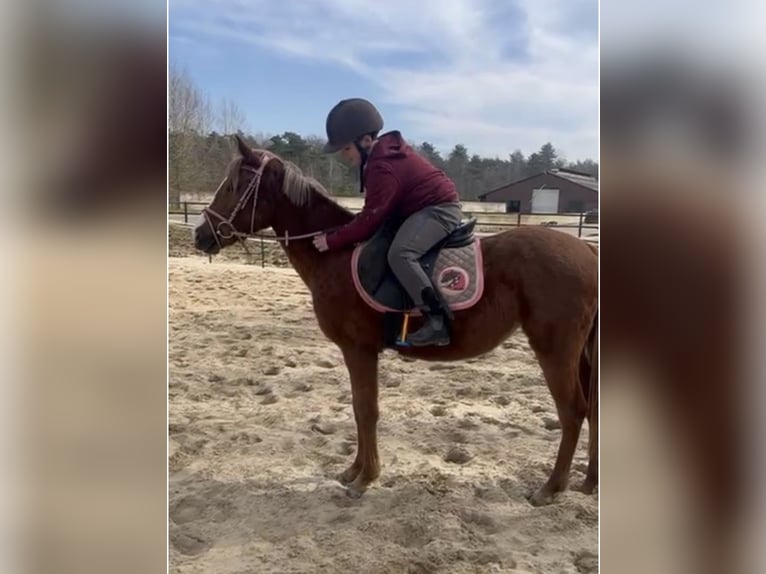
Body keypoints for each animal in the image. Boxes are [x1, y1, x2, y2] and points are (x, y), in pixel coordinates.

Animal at [194, 137, 600, 506]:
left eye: (233, 186)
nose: (201, 235)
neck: (335, 254)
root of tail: (587, 249)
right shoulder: (358, 352)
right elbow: (359, 409)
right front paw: (354, 471)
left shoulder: (358, 350)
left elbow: (366, 410)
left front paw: (365, 478)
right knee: (593, 409)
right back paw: (589, 482)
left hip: (555, 350)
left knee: (573, 412)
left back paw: (551, 488)